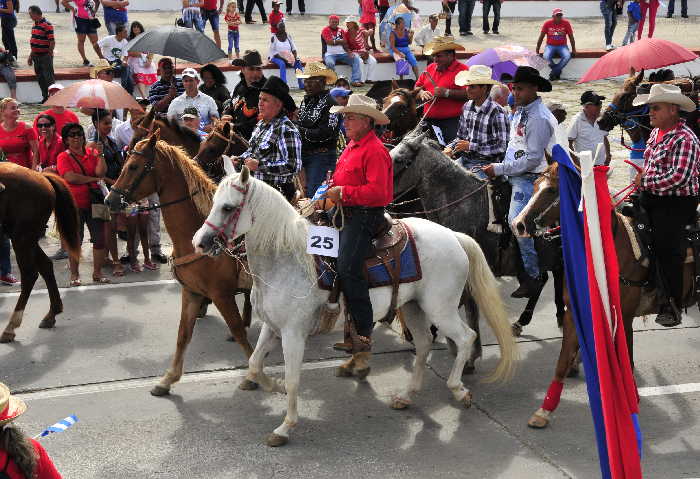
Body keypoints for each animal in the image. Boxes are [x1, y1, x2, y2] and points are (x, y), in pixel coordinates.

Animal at [0, 166, 80, 344]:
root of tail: (41, 176)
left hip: (22, 237)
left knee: (30, 275)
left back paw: (11, 327)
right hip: (26, 238)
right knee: (46, 266)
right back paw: (51, 314)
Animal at [105, 132, 253, 398]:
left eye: (133, 166)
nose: (109, 200)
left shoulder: (222, 294)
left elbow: (238, 330)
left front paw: (255, 375)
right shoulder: (191, 292)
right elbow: (183, 334)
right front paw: (167, 380)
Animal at [190, 166, 516, 450]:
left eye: (228, 208)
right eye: (214, 202)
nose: (200, 242)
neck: (286, 259)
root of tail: (455, 237)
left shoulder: (293, 333)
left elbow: (294, 379)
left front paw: (285, 426)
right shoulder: (272, 327)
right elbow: (255, 364)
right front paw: (275, 386)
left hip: (441, 308)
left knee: (466, 337)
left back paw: (458, 389)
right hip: (414, 306)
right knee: (424, 344)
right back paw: (407, 395)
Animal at [512, 163, 696, 430]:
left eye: (552, 190)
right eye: (535, 185)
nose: (518, 224)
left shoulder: (624, 317)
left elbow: (626, 361)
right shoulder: (573, 313)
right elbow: (562, 361)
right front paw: (544, 411)